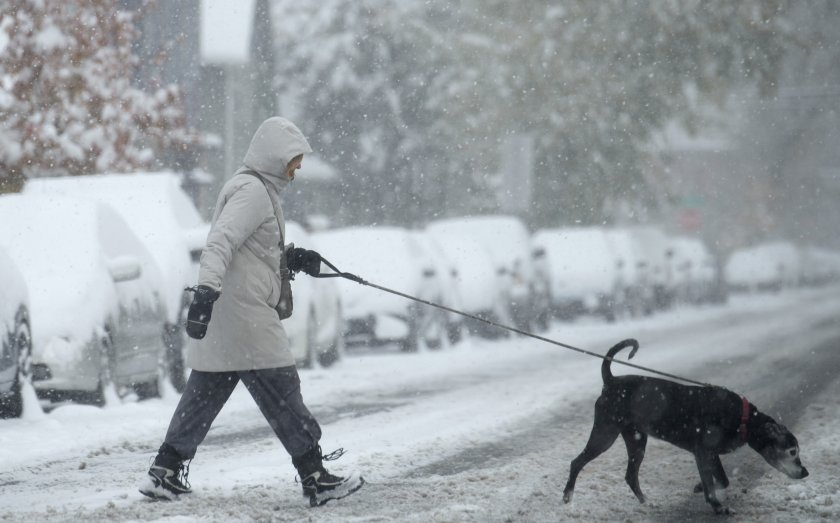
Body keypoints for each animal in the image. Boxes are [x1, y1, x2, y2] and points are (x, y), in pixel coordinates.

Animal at [564, 340, 808, 516]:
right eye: (792, 452)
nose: (805, 472)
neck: (744, 419)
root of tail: (610, 381)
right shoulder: (703, 451)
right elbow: (715, 484)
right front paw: (718, 507)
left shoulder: (710, 454)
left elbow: (722, 479)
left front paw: (700, 487)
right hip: (605, 434)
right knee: (577, 462)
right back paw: (567, 497)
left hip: (636, 440)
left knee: (630, 475)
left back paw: (646, 503)